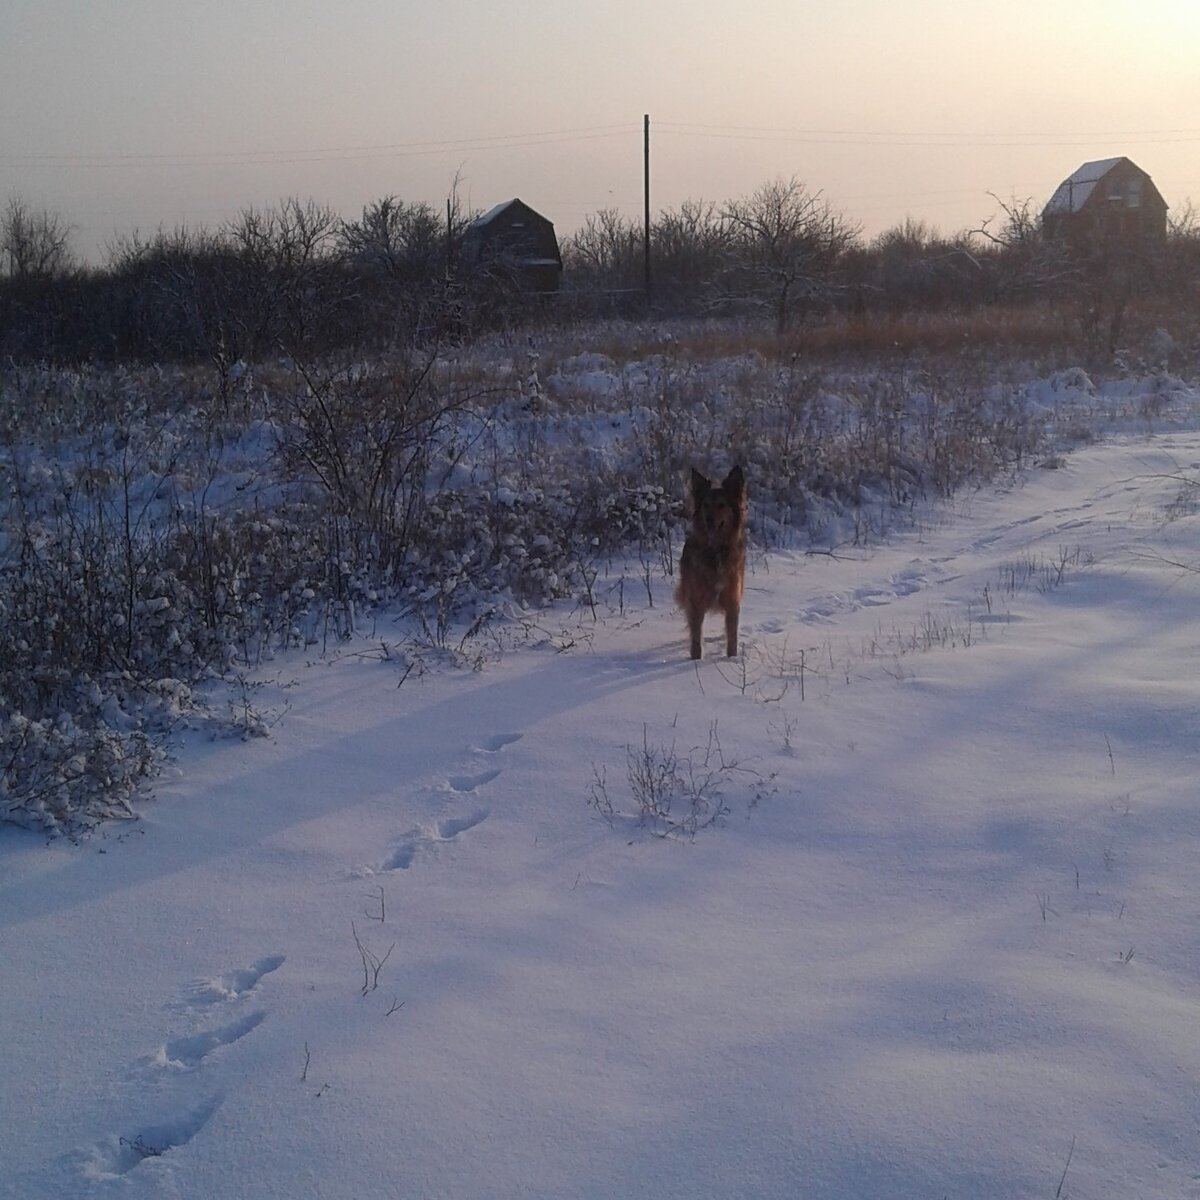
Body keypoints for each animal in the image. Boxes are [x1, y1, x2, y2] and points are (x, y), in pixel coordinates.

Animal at [676, 465, 739, 657]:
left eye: (722, 505)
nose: (709, 519)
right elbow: (696, 639)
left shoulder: (732, 601)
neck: (715, 549)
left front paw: (732, 659)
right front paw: (696, 660)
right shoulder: (696, 602)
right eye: (705, 505)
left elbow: (732, 639)